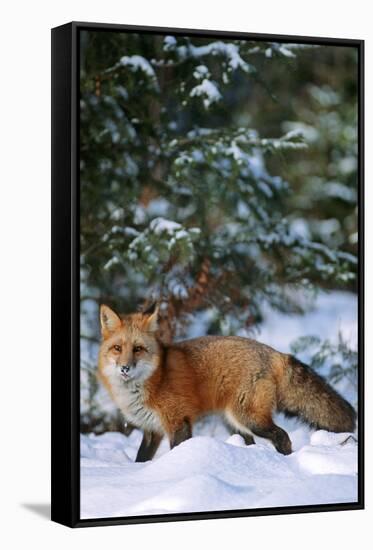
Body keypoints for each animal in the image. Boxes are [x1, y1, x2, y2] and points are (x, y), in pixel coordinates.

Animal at [97, 304, 356, 464]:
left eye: (138, 349)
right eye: (117, 348)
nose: (125, 368)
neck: (153, 380)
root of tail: (273, 352)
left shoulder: (178, 422)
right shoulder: (152, 430)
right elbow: (141, 458)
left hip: (248, 418)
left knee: (282, 436)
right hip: (233, 423)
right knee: (251, 443)